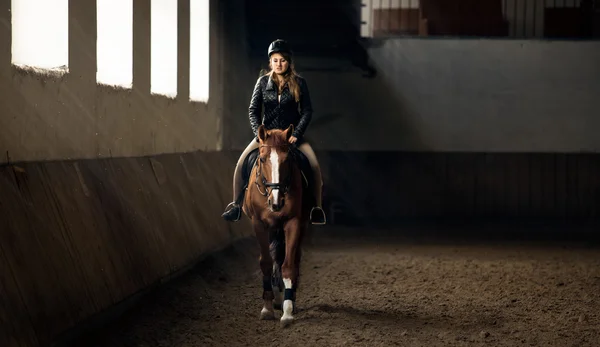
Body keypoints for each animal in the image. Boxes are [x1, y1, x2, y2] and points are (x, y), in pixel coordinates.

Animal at [241, 123, 312, 328]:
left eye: (287, 160)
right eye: (263, 159)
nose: (276, 202)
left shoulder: (293, 223)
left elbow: (288, 265)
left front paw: (287, 312)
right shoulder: (258, 224)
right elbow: (266, 262)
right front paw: (267, 308)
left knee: (293, 260)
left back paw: (289, 299)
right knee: (275, 258)